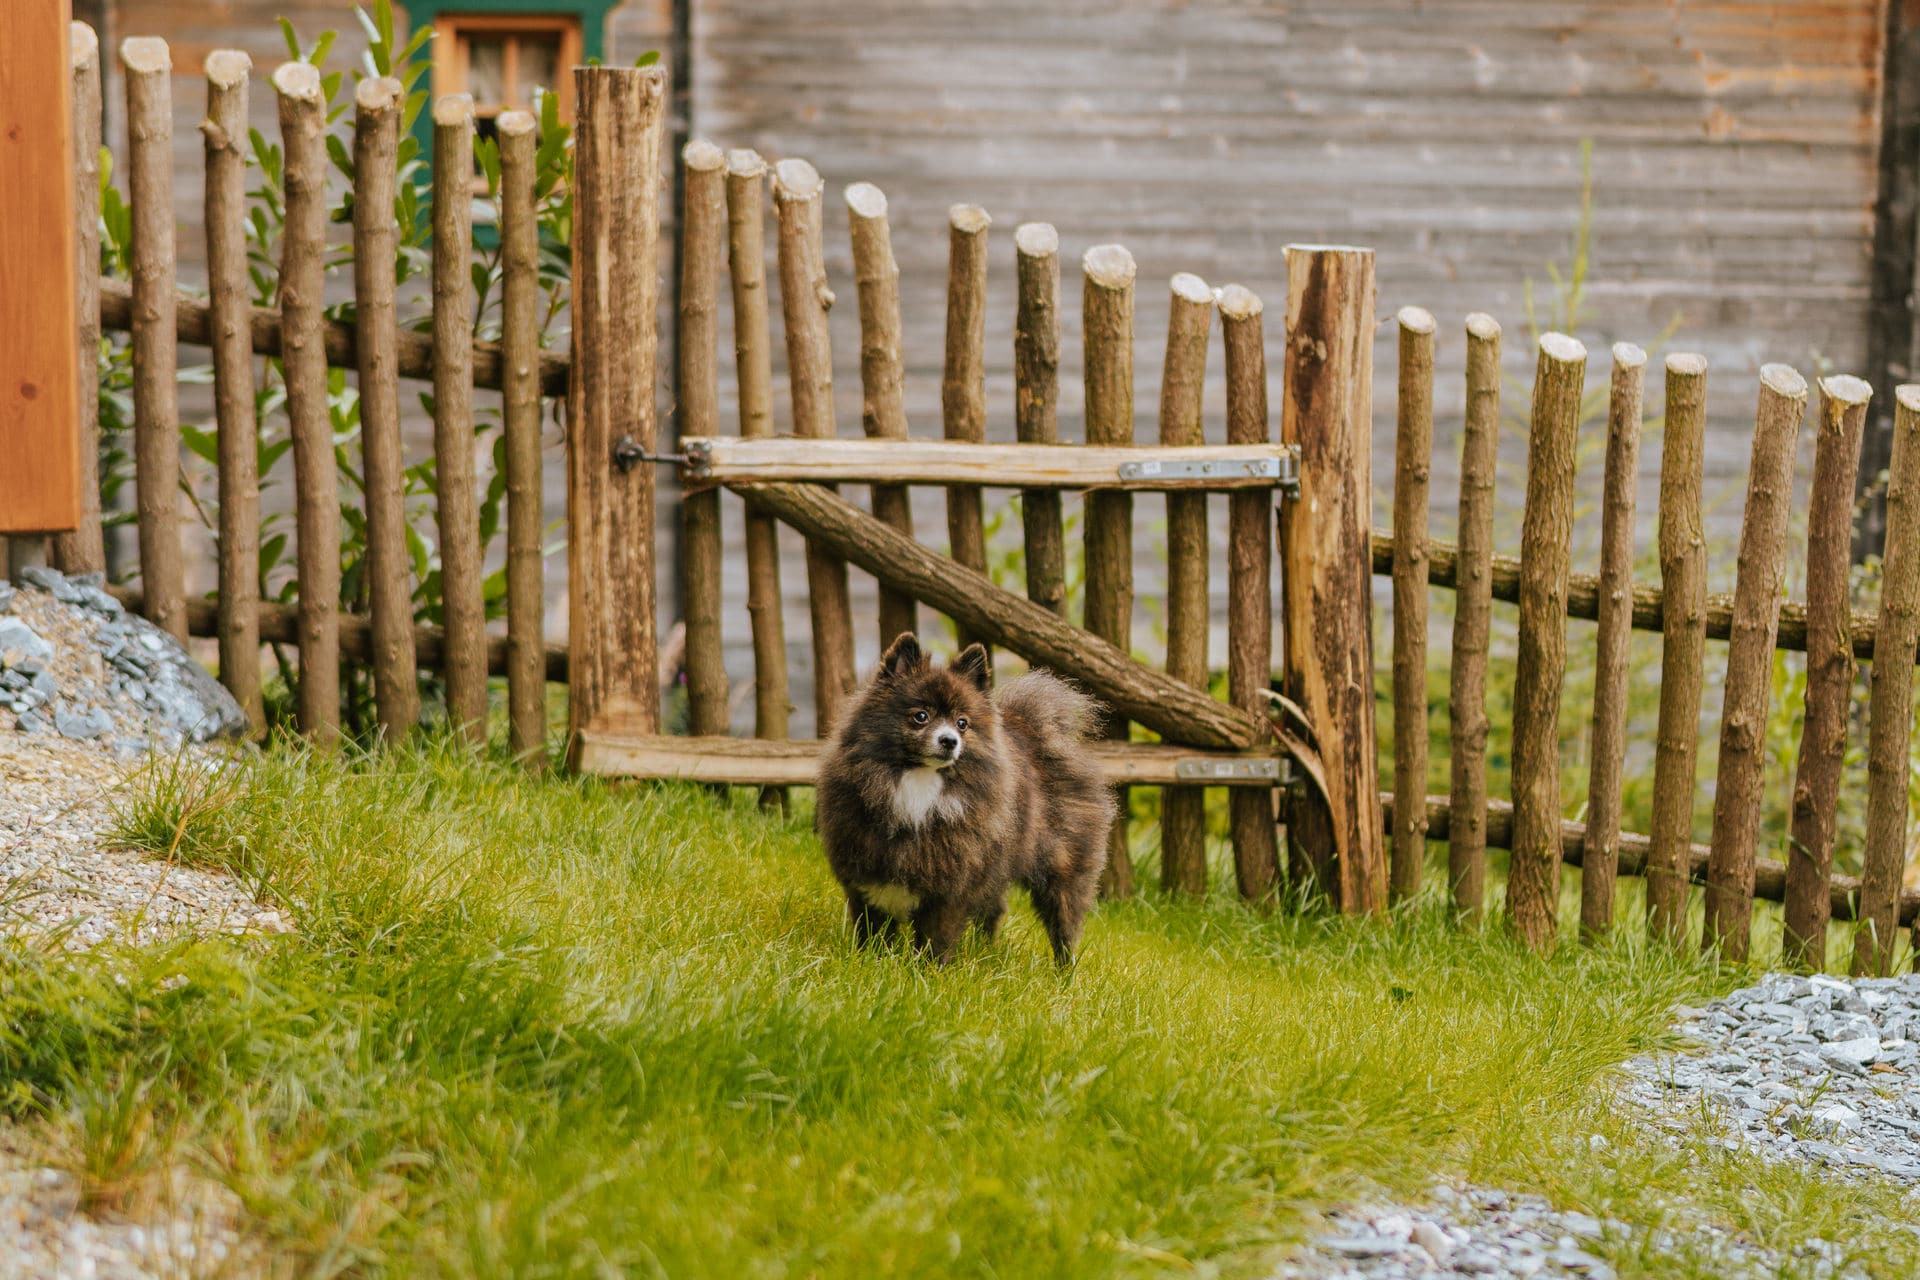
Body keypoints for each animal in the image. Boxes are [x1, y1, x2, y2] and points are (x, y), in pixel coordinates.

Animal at [810, 637, 1113, 967]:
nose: (949, 740)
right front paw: (871, 962)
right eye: (921, 716)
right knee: (994, 911)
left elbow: (936, 938)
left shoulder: (951, 887)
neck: (919, 782)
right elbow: (874, 928)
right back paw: (985, 951)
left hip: (1062, 871)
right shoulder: (867, 872)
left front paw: (927, 971)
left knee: (1064, 927)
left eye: (962, 723)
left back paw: (1064, 972)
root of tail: (1035, 731)